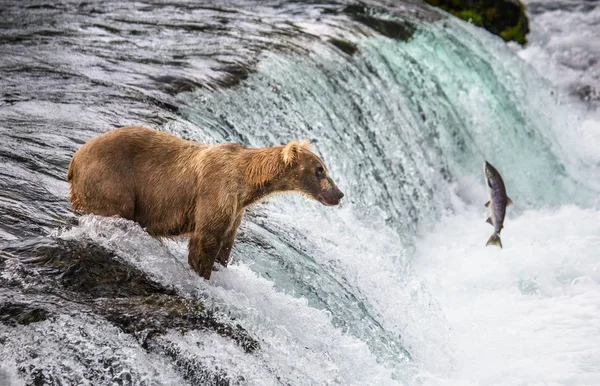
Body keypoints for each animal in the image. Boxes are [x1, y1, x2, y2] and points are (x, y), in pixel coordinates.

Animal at [68, 128, 344, 278]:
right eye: (319, 170)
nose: (339, 194)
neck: (247, 183)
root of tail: (74, 160)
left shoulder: (236, 210)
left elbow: (224, 244)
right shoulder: (216, 192)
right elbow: (204, 242)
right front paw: (203, 273)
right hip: (111, 181)